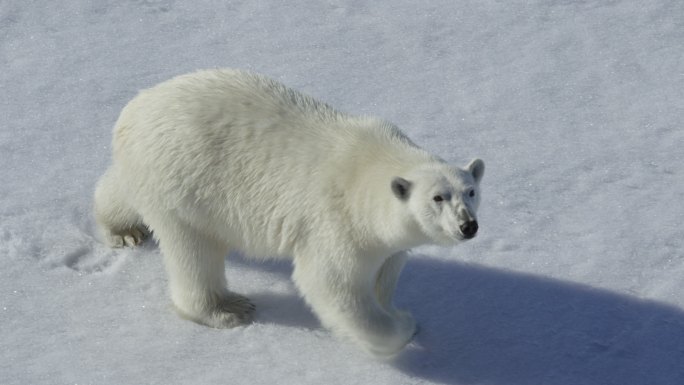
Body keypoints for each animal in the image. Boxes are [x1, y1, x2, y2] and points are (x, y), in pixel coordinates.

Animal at [93, 68, 484, 354]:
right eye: (438, 197)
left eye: (471, 191)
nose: (468, 226)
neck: (374, 167)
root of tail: (131, 112)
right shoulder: (340, 223)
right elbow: (332, 284)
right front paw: (403, 324)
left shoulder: (387, 243)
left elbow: (385, 274)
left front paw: (392, 306)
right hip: (184, 184)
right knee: (195, 252)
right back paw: (228, 309)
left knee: (122, 189)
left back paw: (122, 229)